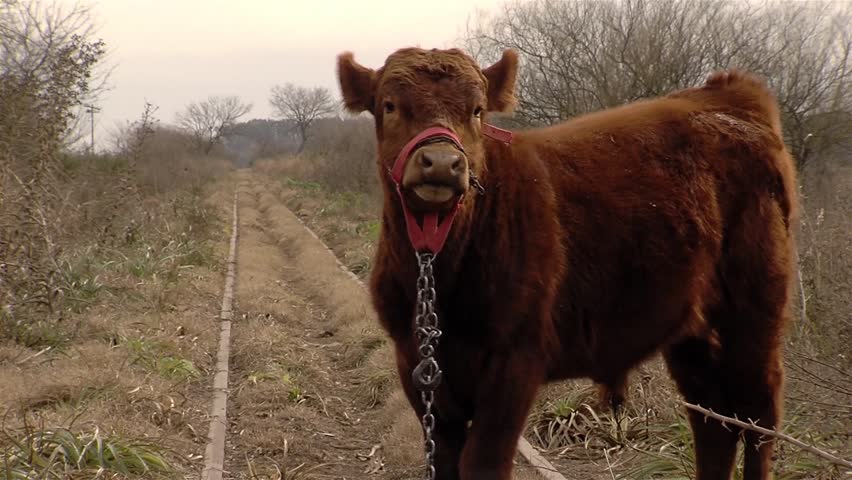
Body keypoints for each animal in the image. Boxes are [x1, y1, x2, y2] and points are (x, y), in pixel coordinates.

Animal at [336, 46, 797, 480]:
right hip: (692, 333)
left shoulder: (515, 362)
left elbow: (482, 462)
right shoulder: (416, 366)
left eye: (477, 110)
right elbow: (446, 461)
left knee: (757, 418)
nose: (443, 163)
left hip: (754, 315)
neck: (439, 273)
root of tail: (728, 96)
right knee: (713, 422)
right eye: (389, 105)